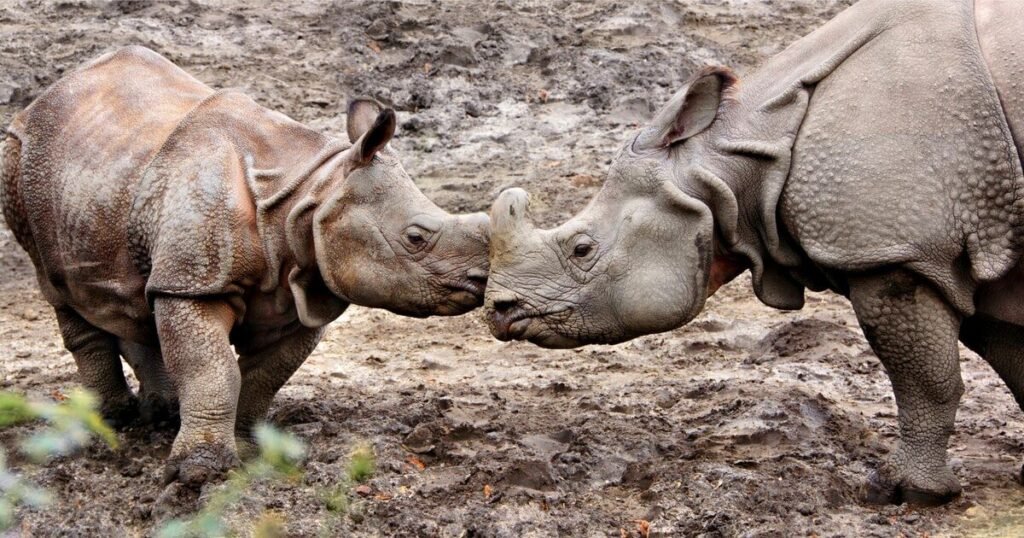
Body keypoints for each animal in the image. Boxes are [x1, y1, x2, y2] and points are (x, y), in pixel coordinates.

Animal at [0, 46, 490, 485]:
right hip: (18, 162)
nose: (480, 279)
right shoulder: (195, 281)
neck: (311, 195)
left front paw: (247, 450)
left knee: (138, 294)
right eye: (415, 237)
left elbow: (263, 376)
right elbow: (213, 369)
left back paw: (161, 415)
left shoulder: (302, 290)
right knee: (58, 288)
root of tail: (45, 97)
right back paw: (109, 425)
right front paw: (199, 473)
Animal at [485, 0, 1024, 505]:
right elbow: (1010, 358)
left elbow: (925, 379)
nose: (499, 310)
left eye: (581, 249)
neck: (736, 154)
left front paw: (904, 493)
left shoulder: (895, 249)